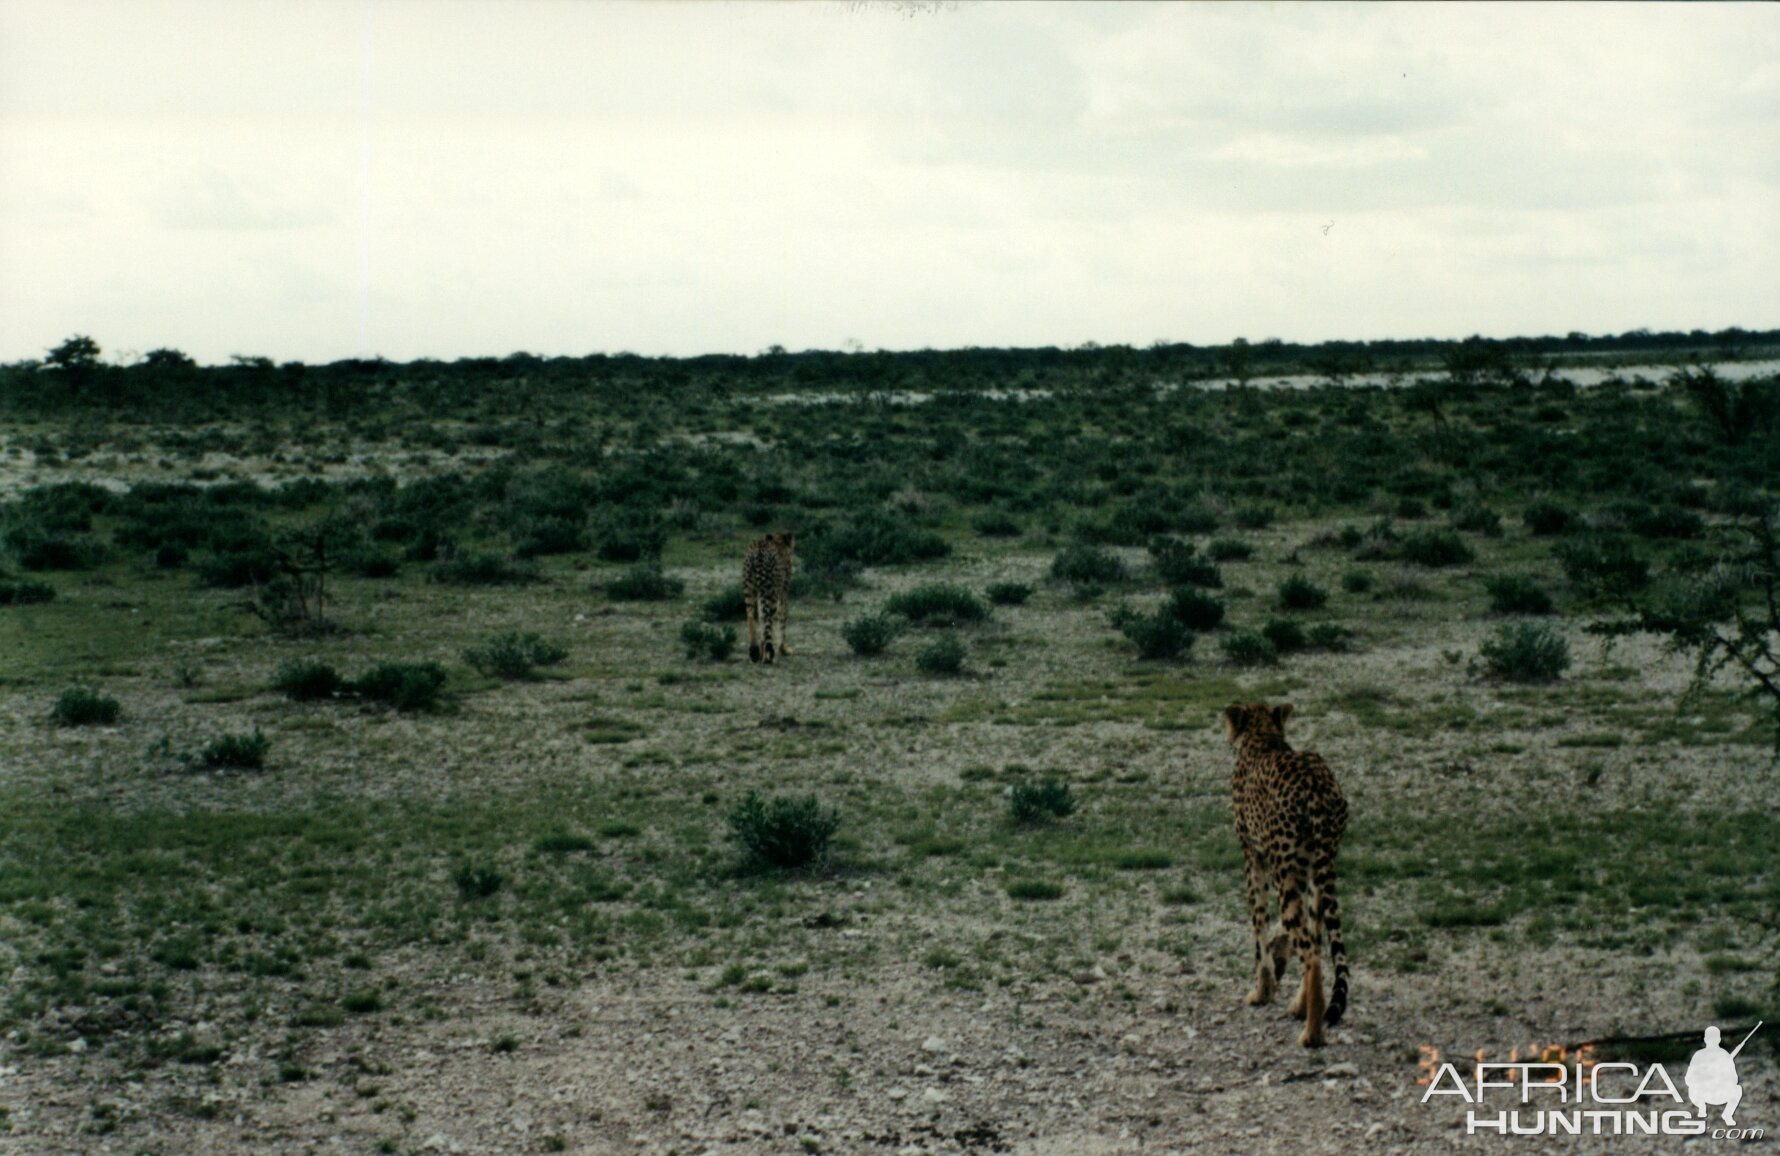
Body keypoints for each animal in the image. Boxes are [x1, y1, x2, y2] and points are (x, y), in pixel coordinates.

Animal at [736, 530, 793, 662]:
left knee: (751, 616)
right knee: (767, 619)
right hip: (770, 592)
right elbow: (782, 619)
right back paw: (768, 655)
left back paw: (754, 651)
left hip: (750, 590)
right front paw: (783, 649)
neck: (777, 542)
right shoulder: (783, 592)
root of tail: (758, 549)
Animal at [1224, 701, 1345, 1047]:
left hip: (1282, 871)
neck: (1263, 736)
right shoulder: (1302, 869)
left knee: (1310, 949)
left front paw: (1261, 991)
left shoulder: (1254, 858)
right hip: (1318, 870)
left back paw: (1312, 1034)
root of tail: (1316, 783)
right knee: (1314, 938)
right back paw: (1304, 1009)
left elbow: (1259, 926)